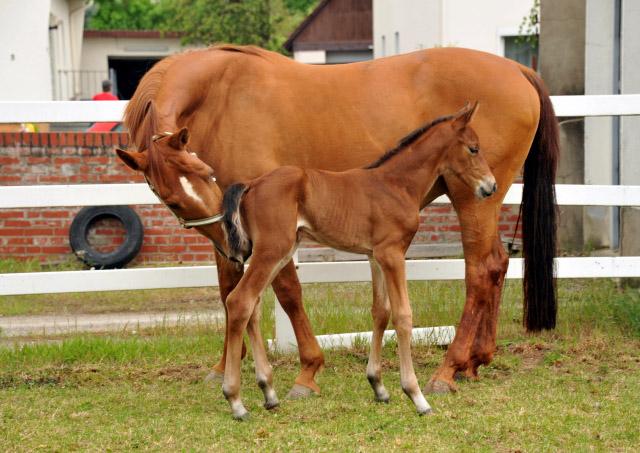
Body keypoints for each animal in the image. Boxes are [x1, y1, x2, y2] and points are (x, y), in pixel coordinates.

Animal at [119, 100, 500, 418]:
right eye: (474, 148)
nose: (491, 186)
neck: (395, 184)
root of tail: (251, 186)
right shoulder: (393, 254)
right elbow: (403, 316)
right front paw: (416, 396)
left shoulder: (375, 255)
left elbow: (380, 312)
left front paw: (378, 386)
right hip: (273, 250)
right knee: (240, 301)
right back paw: (237, 401)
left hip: (278, 251)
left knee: (251, 305)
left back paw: (269, 392)